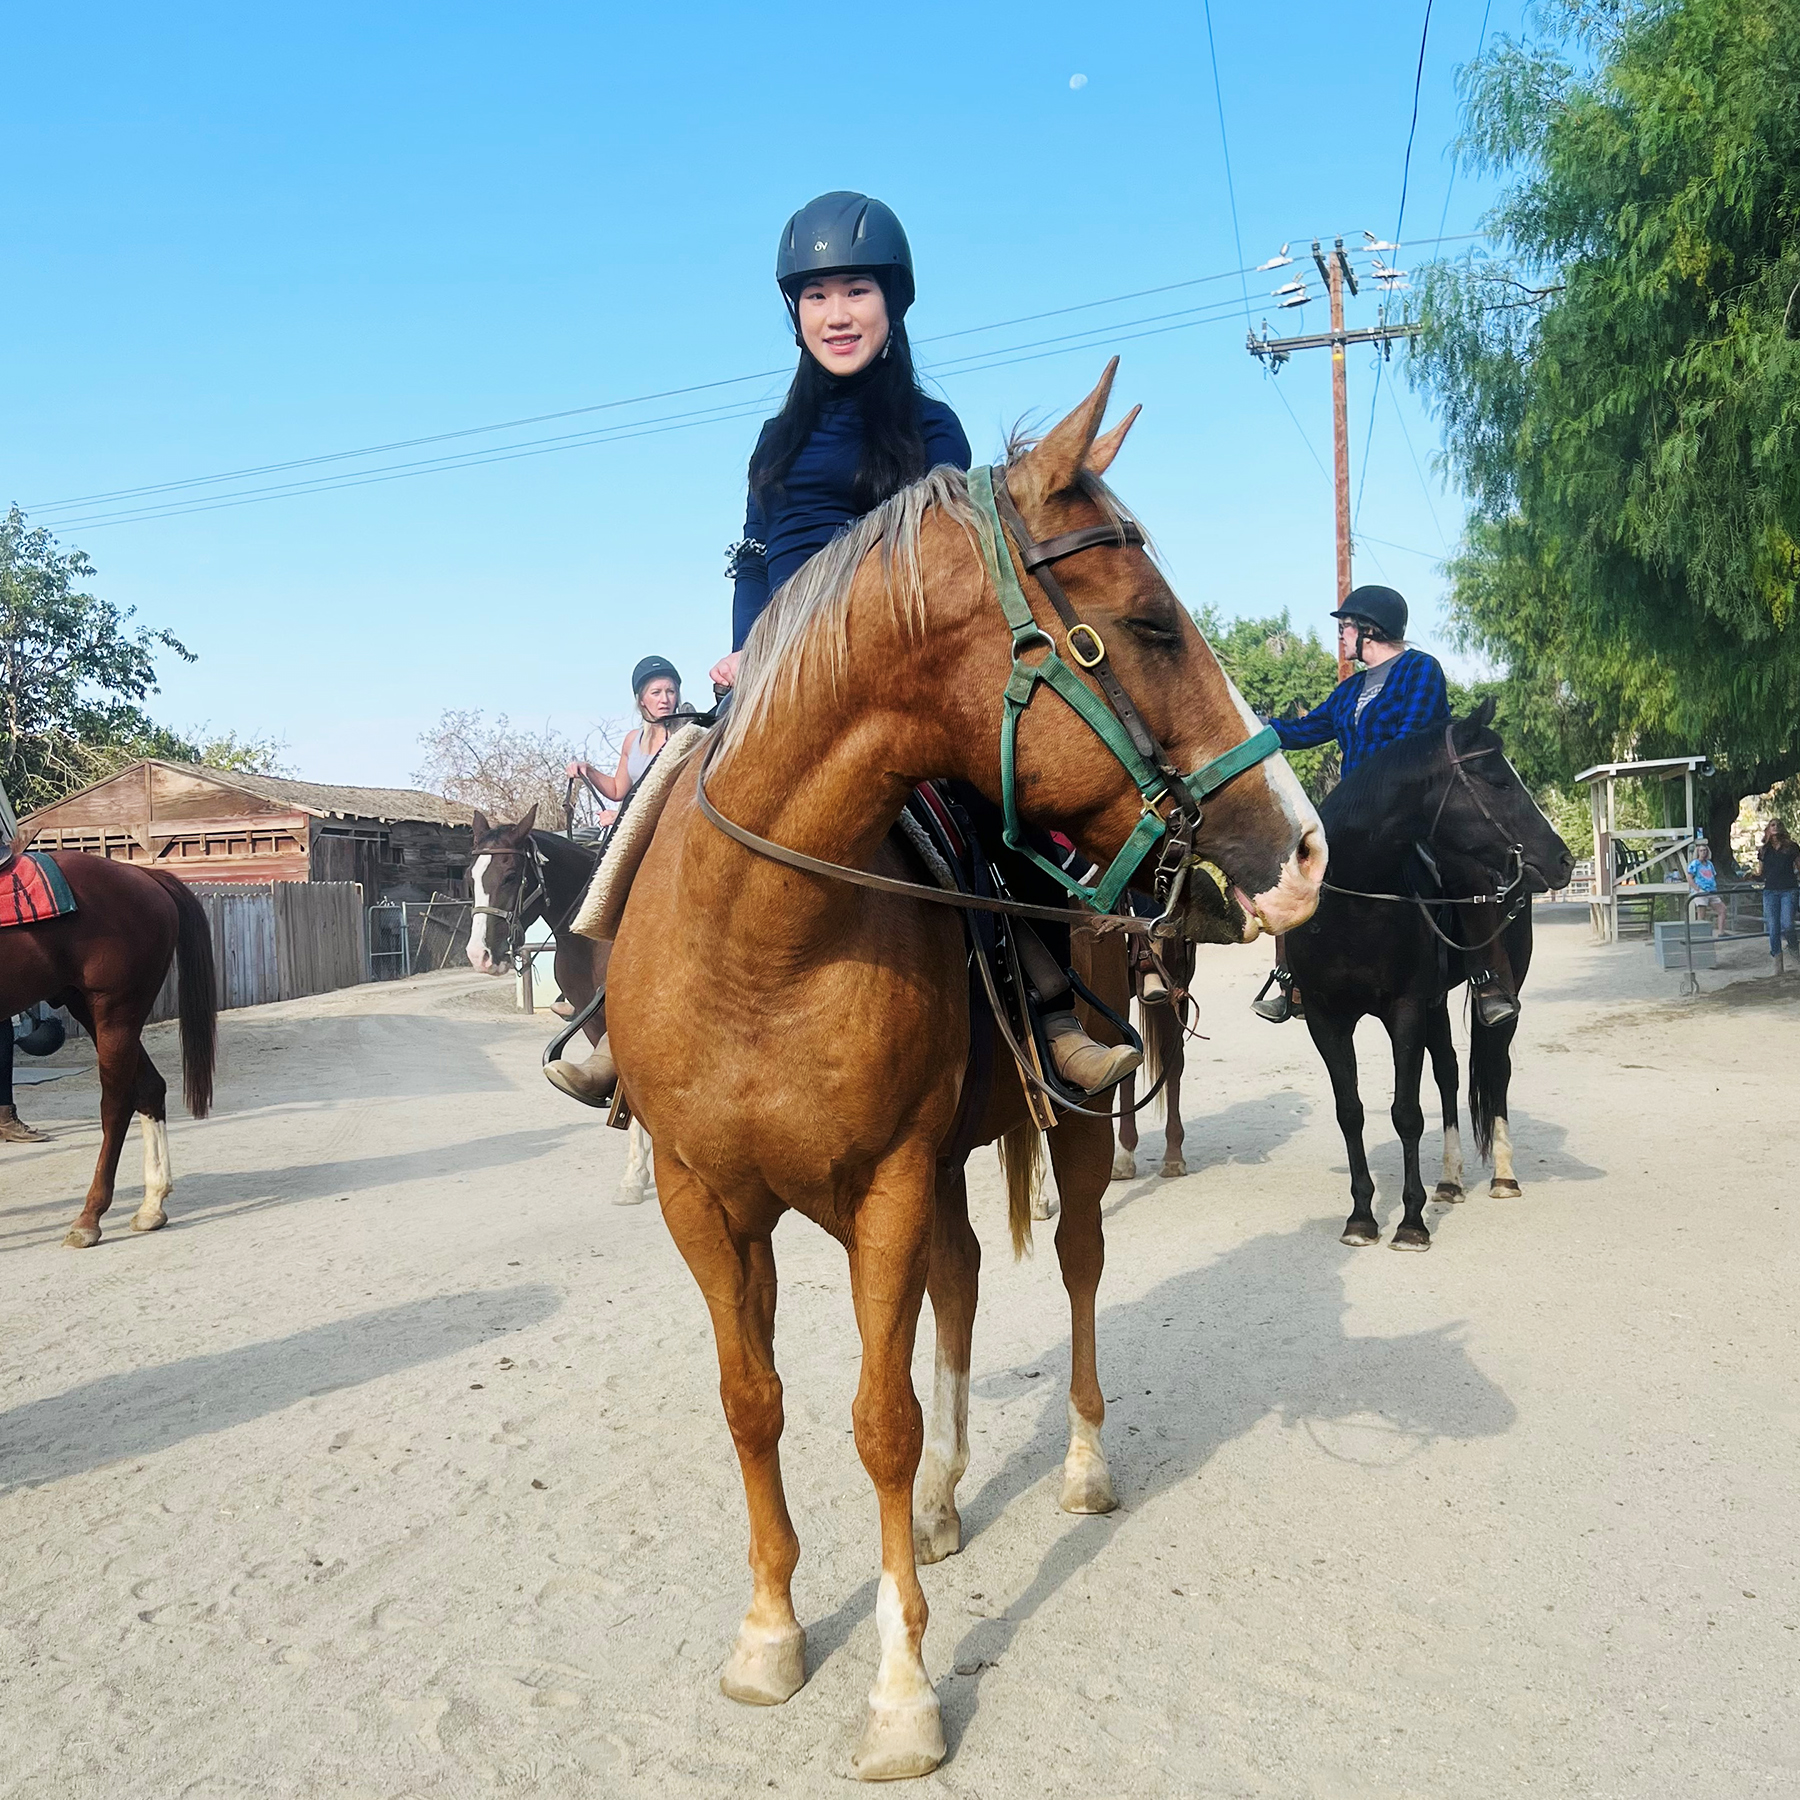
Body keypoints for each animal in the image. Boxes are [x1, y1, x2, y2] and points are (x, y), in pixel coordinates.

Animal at [0, 849, 216, 1245]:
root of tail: (144, 876)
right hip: (94, 1011)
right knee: (150, 1088)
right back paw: (151, 1205)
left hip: (115, 1014)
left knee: (116, 1106)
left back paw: (90, 1217)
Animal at [604, 361, 1324, 1771]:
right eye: (1150, 624)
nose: (1304, 846)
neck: (757, 940)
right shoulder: (704, 1201)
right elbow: (754, 1400)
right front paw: (770, 1635)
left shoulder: (882, 1183)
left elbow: (878, 1420)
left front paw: (899, 1692)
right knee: (965, 1287)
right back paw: (945, 1502)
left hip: (1078, 1118)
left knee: (1079, 1265)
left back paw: (1082, 1466)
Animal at [1288, 702, 1569, 1252]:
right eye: (1499, 781)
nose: (1563, 859)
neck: (1356, 904)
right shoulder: (1326, 1018)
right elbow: (1350, 1111)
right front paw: (1361, 1217)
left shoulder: (1405, 1009)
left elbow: (1406, 1113)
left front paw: (1411, 1222)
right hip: (1436, 1003)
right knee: (1448, 1073)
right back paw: (1450, 1179)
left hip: (1495, 994)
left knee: (1496, 1069)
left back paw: (1503, 1176)